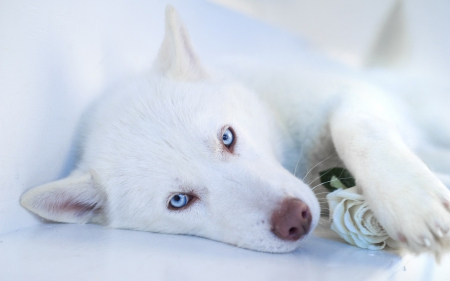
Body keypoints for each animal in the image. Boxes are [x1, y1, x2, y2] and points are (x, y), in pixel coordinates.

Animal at [20, 4, 450, 254]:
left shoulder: (358, 98)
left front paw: (408, 200)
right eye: (179, 201)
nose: (295, 219)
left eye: (227, 137)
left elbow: (353, 126)